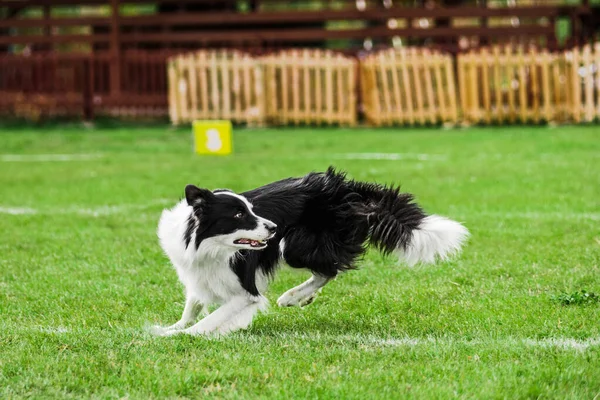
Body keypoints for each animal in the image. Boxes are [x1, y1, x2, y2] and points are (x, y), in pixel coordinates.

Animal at [151, 167, 468, 336]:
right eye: (240, 214)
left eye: (251, 210)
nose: (273, 227)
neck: (209, 246)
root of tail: (345, 187)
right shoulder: (197, 274)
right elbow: (192, 306)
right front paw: (171, 328)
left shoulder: (246, 292)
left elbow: (213, 317)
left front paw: (186, 336)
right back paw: (301, 297)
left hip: (295, 246)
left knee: (330, 269)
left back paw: (292, 296)